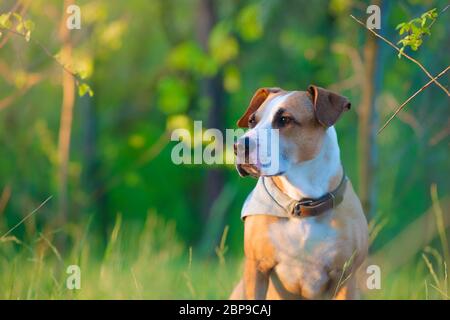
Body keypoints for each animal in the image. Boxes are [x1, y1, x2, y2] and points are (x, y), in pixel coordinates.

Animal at [230, 85, 368, 300]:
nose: (239, 146)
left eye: (284, 120)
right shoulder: (257, 268)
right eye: (252, 121)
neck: (303, 202)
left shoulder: (345, 277)